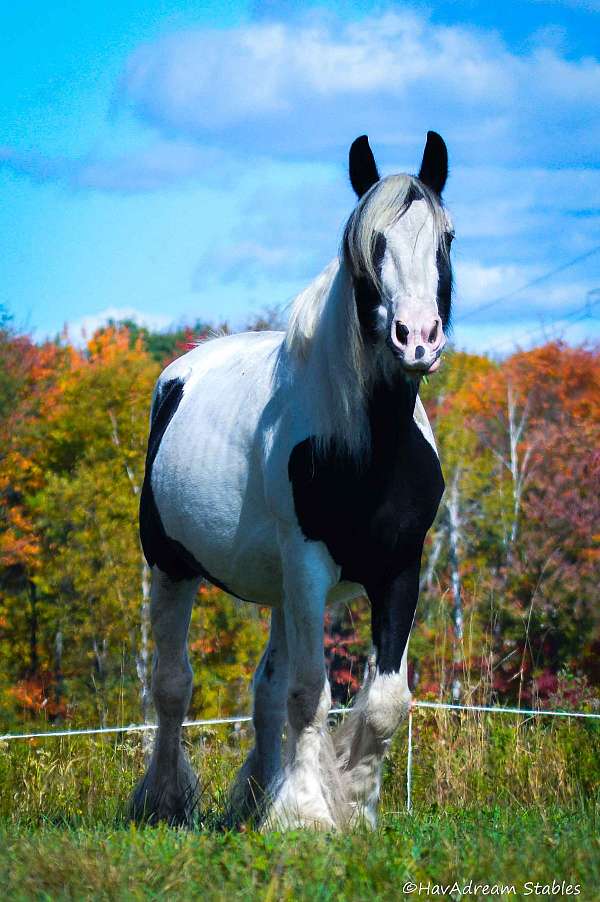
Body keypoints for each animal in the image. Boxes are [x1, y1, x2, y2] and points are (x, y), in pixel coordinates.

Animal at [130, 130, 453, 830]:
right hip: (173, 568)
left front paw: (355, 808)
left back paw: (257, 796)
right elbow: (311, 693)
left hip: (280, 592)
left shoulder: (400, 569)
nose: (416, 340)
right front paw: (307, 816)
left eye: (446, 238)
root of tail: (184, 368)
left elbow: (383, 700)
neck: (365, 445)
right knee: (173, 686)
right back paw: (165, 799)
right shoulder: (308, 564)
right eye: (371, 244)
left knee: (266, 690)